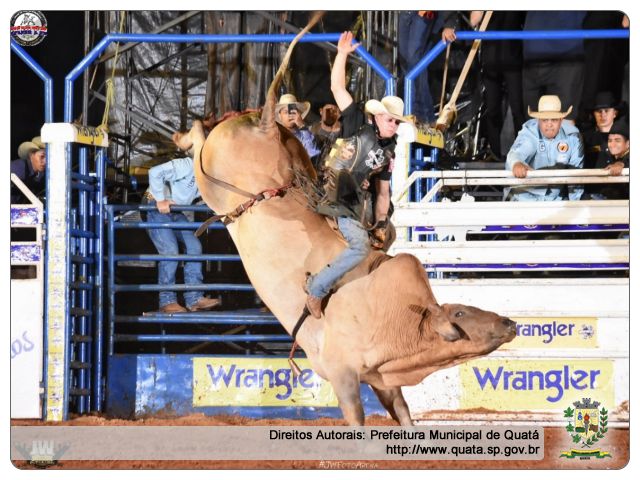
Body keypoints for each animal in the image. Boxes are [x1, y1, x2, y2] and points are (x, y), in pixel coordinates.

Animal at [174, 15, 516, 426]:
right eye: (461, 311)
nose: (510, 323)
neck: (400, 321)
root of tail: (267, 125)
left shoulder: (382, 380)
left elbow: (403, 413)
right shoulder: (343, 374)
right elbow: (356, 417)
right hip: (212, 180)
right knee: (199, 145)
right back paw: (185, 134)